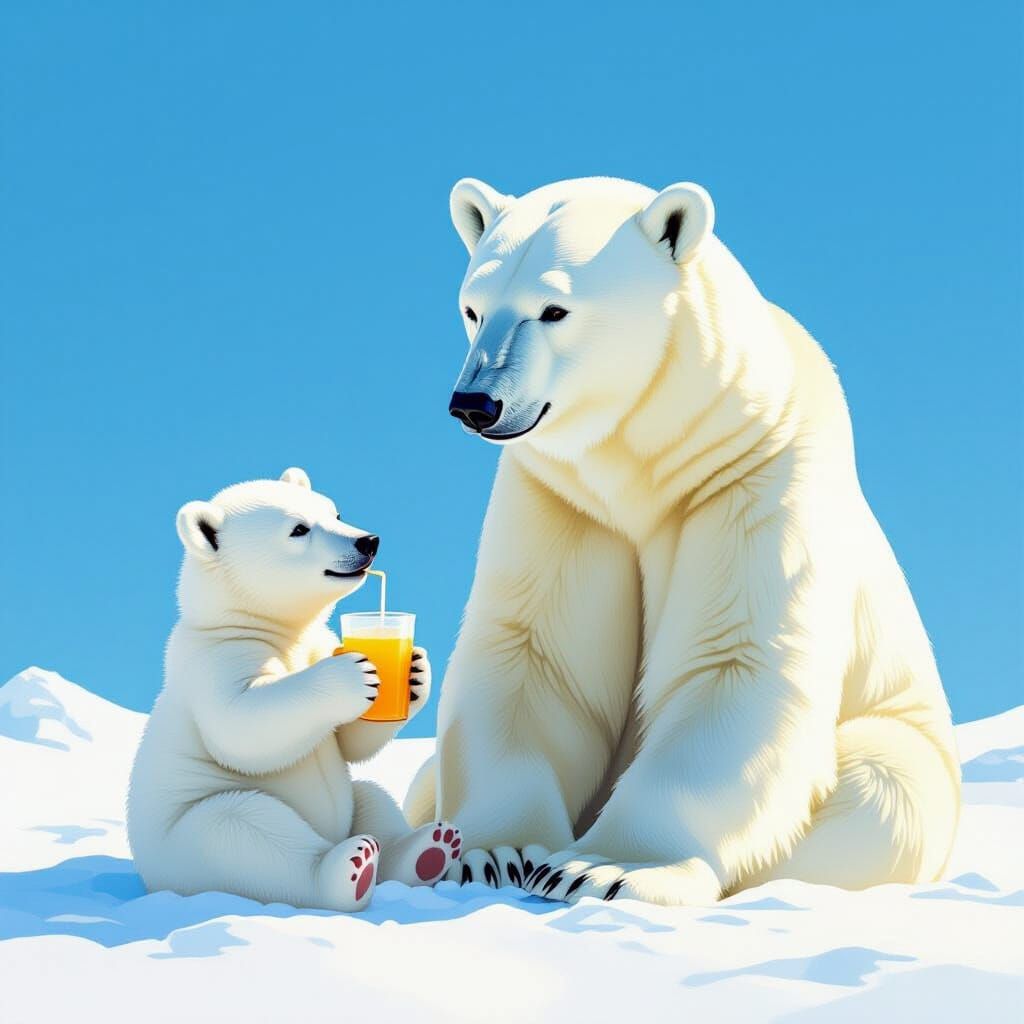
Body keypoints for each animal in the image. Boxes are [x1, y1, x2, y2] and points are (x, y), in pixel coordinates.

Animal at [128, 468, 461, 911]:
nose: (368, 541)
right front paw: (352, 674)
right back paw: (349, 870)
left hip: (348, 807)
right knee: (246, 831)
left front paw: (415, 673)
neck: (270, 627)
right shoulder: (216, 659)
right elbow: (240, 726)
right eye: (299, 529)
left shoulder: (317, 641)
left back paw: (428, 850)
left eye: (336, 512)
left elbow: (349, 743)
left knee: (371, 797)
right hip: (189, 838)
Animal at [404, 176, 961, 906]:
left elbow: (733, 659)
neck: (650, 458)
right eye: (473, 308)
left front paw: (605, 867)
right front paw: (491, 854)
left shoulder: (753, 474)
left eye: (553, 309)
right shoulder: (562, 497)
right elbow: (535, 656)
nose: (475, 403)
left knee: (880, 791)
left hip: (911, 752)